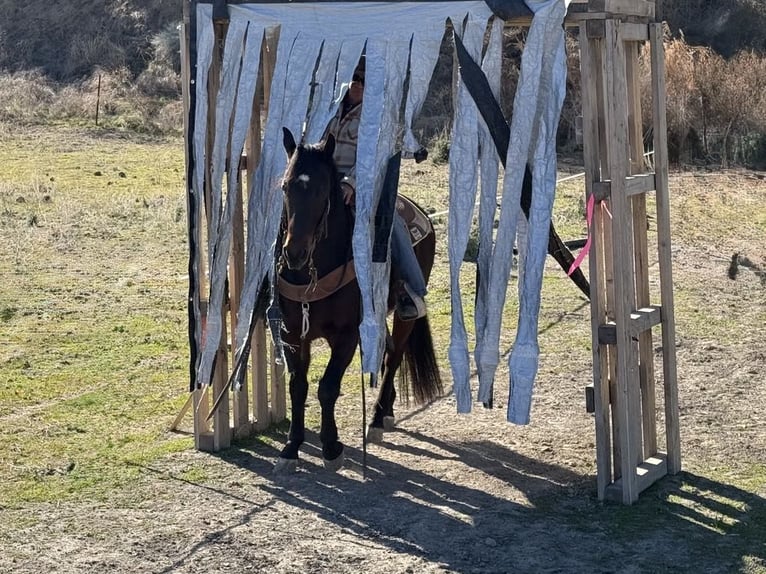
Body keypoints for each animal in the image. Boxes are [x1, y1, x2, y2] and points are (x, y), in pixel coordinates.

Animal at [276, 128, 444, 474]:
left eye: (321, 189)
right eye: (285, 186)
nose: (294, 253)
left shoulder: (347, 336)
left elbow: (327, 387)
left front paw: (331, 447)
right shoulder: (292, 334)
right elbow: (298, 386)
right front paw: (292, 445)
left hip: (404, 316)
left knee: (393, 359)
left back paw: (379, 417)